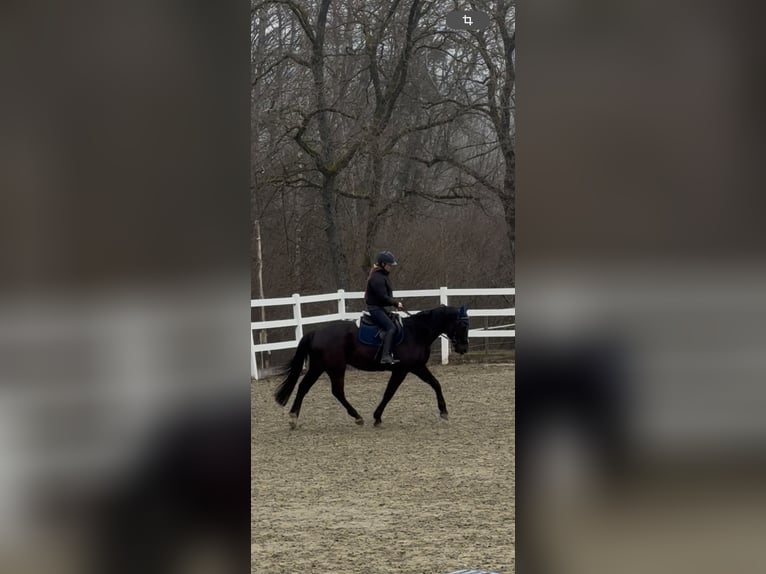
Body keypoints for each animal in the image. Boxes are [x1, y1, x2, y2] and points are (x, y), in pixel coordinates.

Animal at [274, 305, 469, 427]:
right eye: (462, 324)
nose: (463, 348)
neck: (416, 333)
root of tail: (316, 332)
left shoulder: (418, 367)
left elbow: (436, 384)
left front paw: (443, 411)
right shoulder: (402, 370)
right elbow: (389, 393)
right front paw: (377, 417)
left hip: (319, 367)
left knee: (303, 387)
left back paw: (293, 418)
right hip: (335, 368)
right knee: (336, 391)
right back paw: (357, 417)